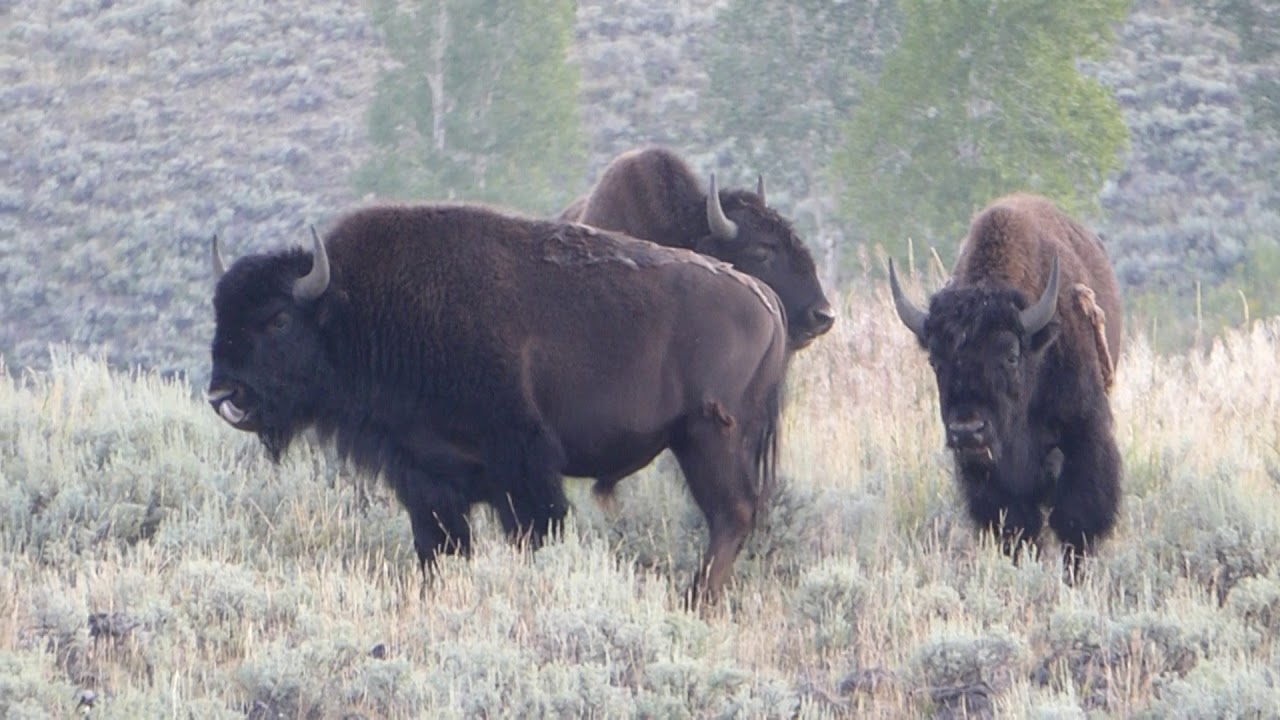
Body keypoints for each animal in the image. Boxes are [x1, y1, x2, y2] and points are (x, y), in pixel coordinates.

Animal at [208, 204, 789, 603]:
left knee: (731, 514)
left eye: (278, 319)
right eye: (221, 314)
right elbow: (439, 546)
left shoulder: (522, 467)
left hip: (710, 437)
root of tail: (764, 296)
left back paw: (695, 599)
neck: (355, 309)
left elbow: (537, 528)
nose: (222, 394)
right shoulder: (426, 477)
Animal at [888, 193, 1122, 573]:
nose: (967, 430)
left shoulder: (1083, 435)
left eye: (1011, 355)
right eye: (935, 361)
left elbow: (1076, 519)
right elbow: (1016, 526)